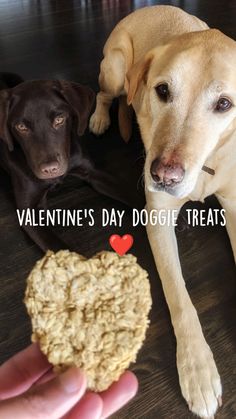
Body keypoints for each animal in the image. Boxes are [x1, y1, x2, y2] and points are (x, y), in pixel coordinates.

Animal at [89, 4, 236, 418]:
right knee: (104, 94)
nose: (162, 176)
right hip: (115, 68)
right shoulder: (157, 217)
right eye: (163, 90)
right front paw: (197, 368)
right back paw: (100, 117)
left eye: (224, 104)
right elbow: (180, 298)